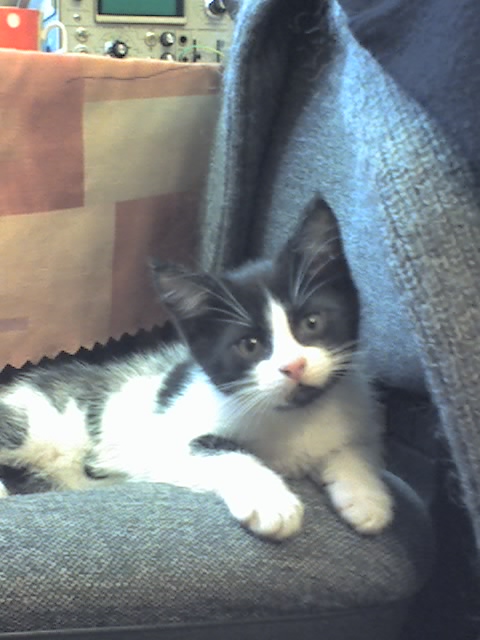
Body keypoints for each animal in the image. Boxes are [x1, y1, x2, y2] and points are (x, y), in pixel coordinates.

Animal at [0, 196, 393, 540]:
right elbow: (220, 450)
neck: (294, 417)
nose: (293, 366)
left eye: (312, 323)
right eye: (250, 345)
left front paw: (367, 495)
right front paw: (272, 501)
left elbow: (354, 446)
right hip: (31, 418)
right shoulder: (164, 441)